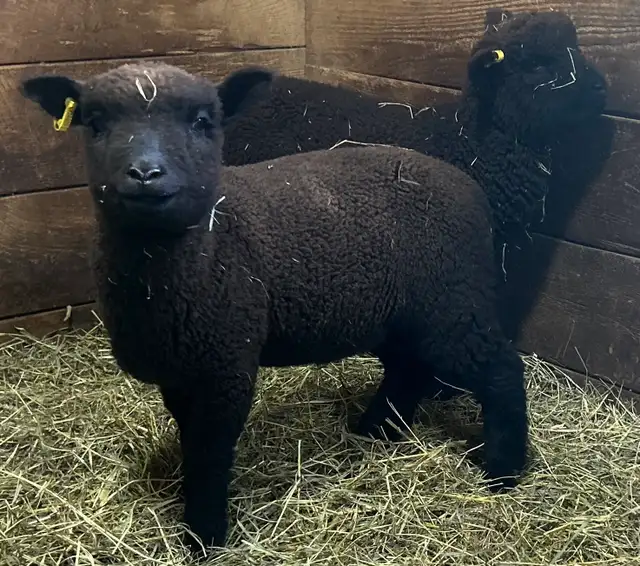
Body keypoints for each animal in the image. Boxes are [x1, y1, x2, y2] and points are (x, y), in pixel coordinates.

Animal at [22, 61, 528, 554]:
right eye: (95, 122)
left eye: (203, 122)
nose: (146, 173)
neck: (209, 245)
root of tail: (468, 186)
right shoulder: (183, 367)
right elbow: (190, 438)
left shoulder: (226, 363)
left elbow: (209, 452)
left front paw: (206, 536)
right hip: (403, 316)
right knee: (410, 369)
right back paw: (375, 430)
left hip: (453, 303)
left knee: (500, 369)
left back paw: (504, 470)